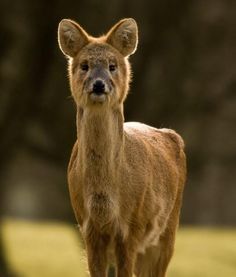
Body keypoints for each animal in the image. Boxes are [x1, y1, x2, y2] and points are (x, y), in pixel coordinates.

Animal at [57, 17, 186, 276]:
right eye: (84, 65)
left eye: (112, 65)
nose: (98, 85)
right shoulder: (87, 227)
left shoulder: (132, 226)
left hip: (167, 231)